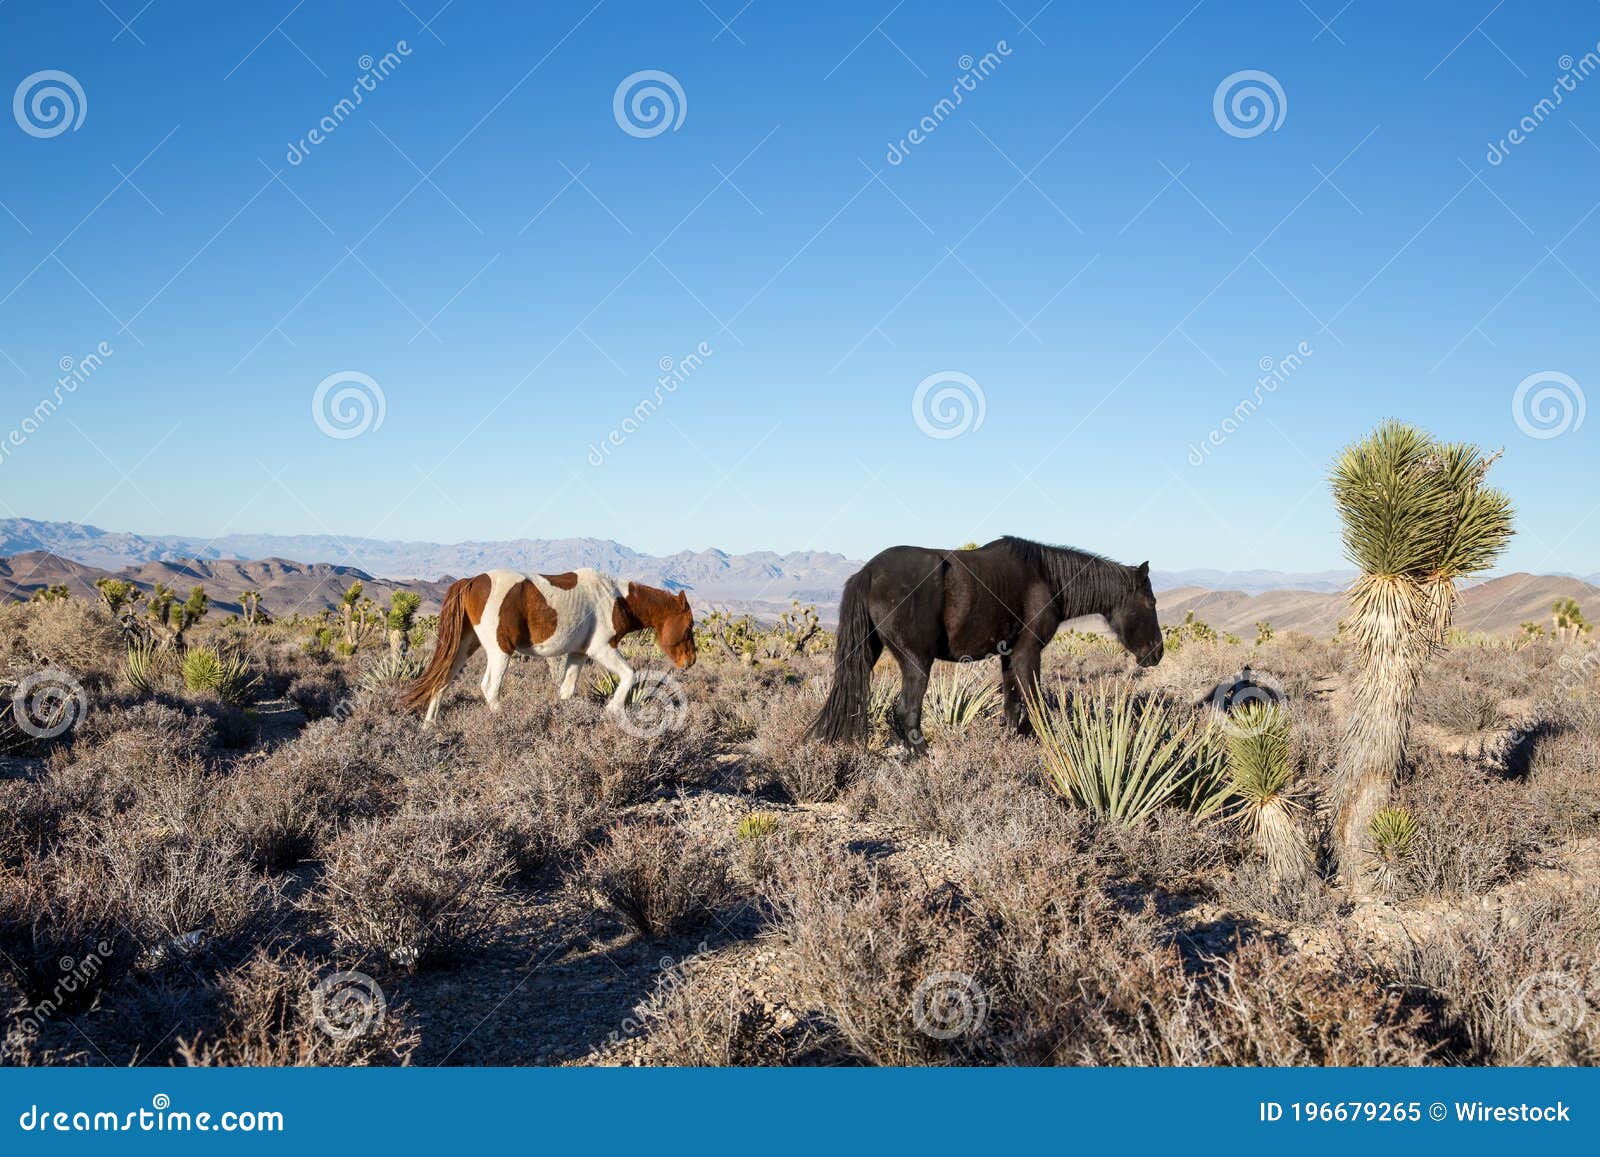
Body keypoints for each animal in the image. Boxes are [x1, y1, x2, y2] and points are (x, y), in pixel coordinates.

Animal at [402, 568, 696, 725]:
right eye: (690, 625)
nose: (690, 661)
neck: (617, 599)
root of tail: (472, 581)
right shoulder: (602, 649)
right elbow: (629, 674)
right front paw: (612, 710)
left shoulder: (578, 653)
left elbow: (566, 690)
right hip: (500, 651)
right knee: (489, 688)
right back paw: (506, 721)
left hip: (465, 647)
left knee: (442, 680)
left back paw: (429, 725)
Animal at [808, 536, 1163, 753]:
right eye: (1151, 602)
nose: (1157, 653)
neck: (1047, 578)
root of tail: (867, 572)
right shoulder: (1028, 653)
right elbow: (1033, 700)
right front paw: (1047, 743)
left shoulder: (1009, 656)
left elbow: (1012, 702)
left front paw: (1011, 739)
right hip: (916, 662)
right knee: (906, 710)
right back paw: (923, 755)